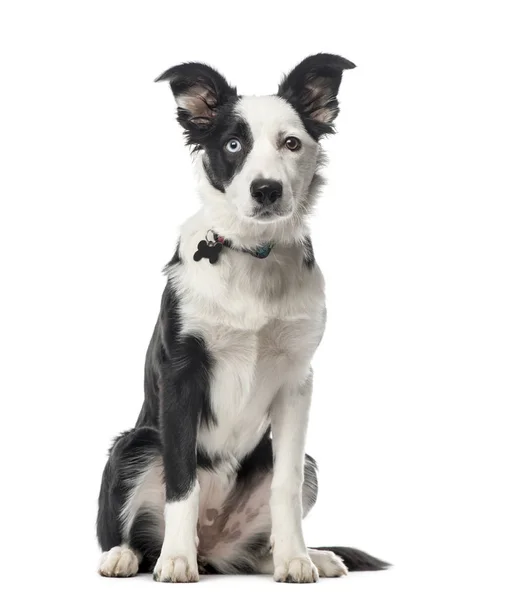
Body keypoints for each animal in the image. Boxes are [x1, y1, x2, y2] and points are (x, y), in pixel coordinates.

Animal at [98, 54, 390, 584]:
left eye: (291, 143)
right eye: (234, 144)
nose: (267, 190)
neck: (253, 253)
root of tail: (213, 548)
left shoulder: (297, 381)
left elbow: (285, 486)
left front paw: (296, 559)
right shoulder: (181, 374)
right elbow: (181, 482)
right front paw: (176, 559)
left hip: (295, 468)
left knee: (260, 540)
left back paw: (308, 554)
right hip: (132, 445)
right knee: (135, 531)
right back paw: (130, 556)